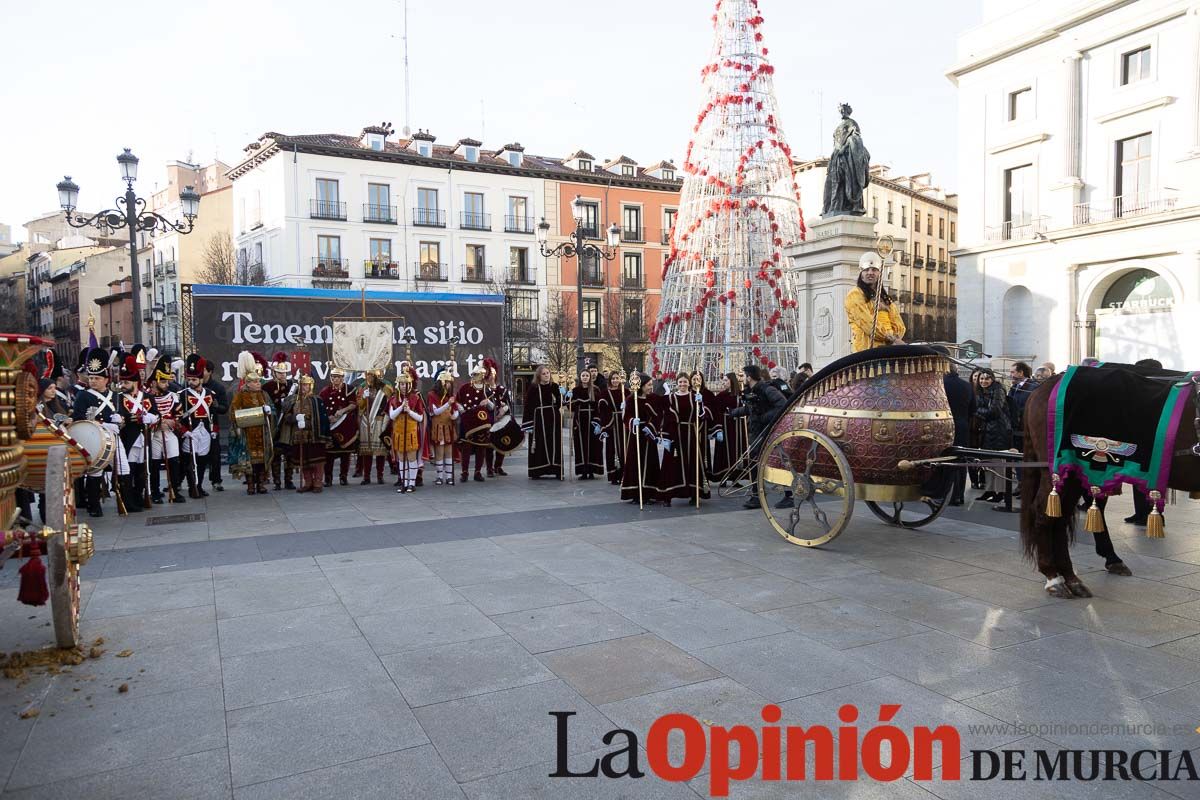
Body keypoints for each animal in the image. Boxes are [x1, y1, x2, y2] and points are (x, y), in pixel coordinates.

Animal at [1022, 371, 1200, 597]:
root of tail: (1046, 384)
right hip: (1061, 473)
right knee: (1044, 514)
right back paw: (1054, 577)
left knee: (1060, 517)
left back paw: (1070, 577)